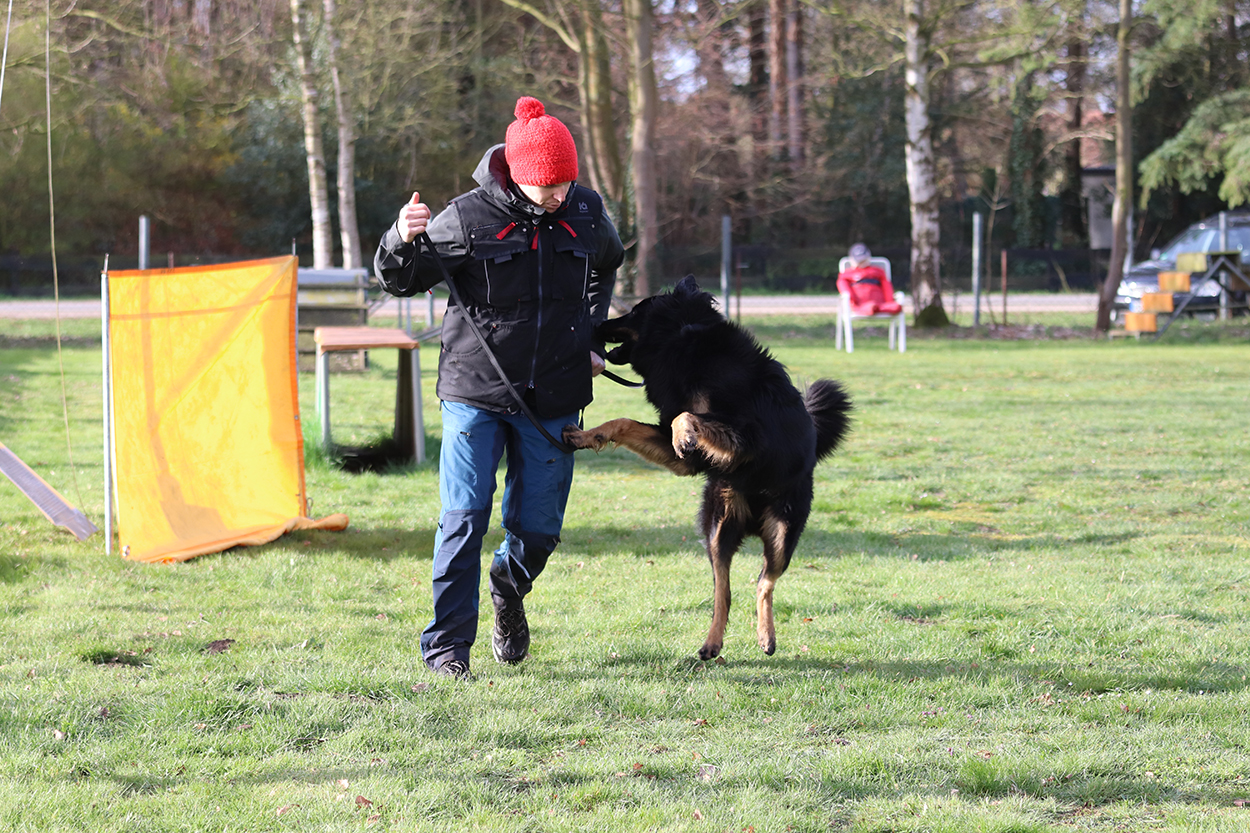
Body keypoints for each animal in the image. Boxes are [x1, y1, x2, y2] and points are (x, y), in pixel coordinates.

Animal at [563, 276, 852, 660]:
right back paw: (713, 643)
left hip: (782, 534)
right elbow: (624, 423)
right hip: (718, 528)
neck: (680, 336)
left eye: (635, 311)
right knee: (724, 592)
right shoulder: (687, 457)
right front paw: (584, 435)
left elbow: (688, 416)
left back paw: (766, 636)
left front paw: (684, 434)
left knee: (764, 581)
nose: (596, 325)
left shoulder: (746, 436)